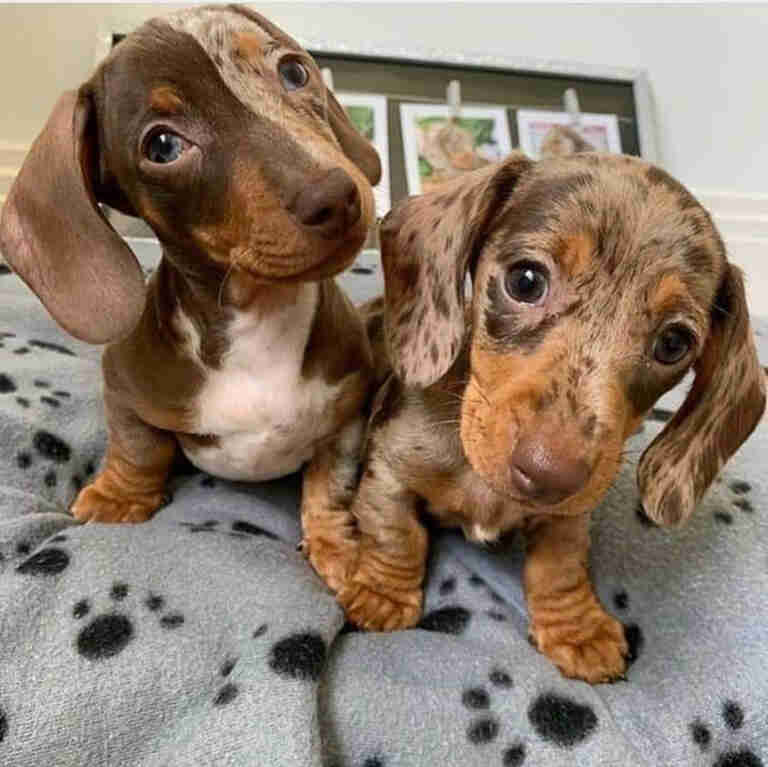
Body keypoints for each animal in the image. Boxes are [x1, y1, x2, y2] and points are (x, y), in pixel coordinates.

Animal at [0, 6, 382, 588]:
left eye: (294, 71)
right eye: (162, 146)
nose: (336, 197)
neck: (260, 319)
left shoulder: (349, 411)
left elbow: (331, 481)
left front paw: (336, 545)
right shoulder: (124, 384)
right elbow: (139, 448)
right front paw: (118, 498)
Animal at [328, 150, 760, 684]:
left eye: (674, 343)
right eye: (526, 280)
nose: (550, 474)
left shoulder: (568, 518)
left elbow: (559, 567)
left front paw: (577, 630)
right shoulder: (389, 469)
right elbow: (396, 533)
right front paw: (381, 593)